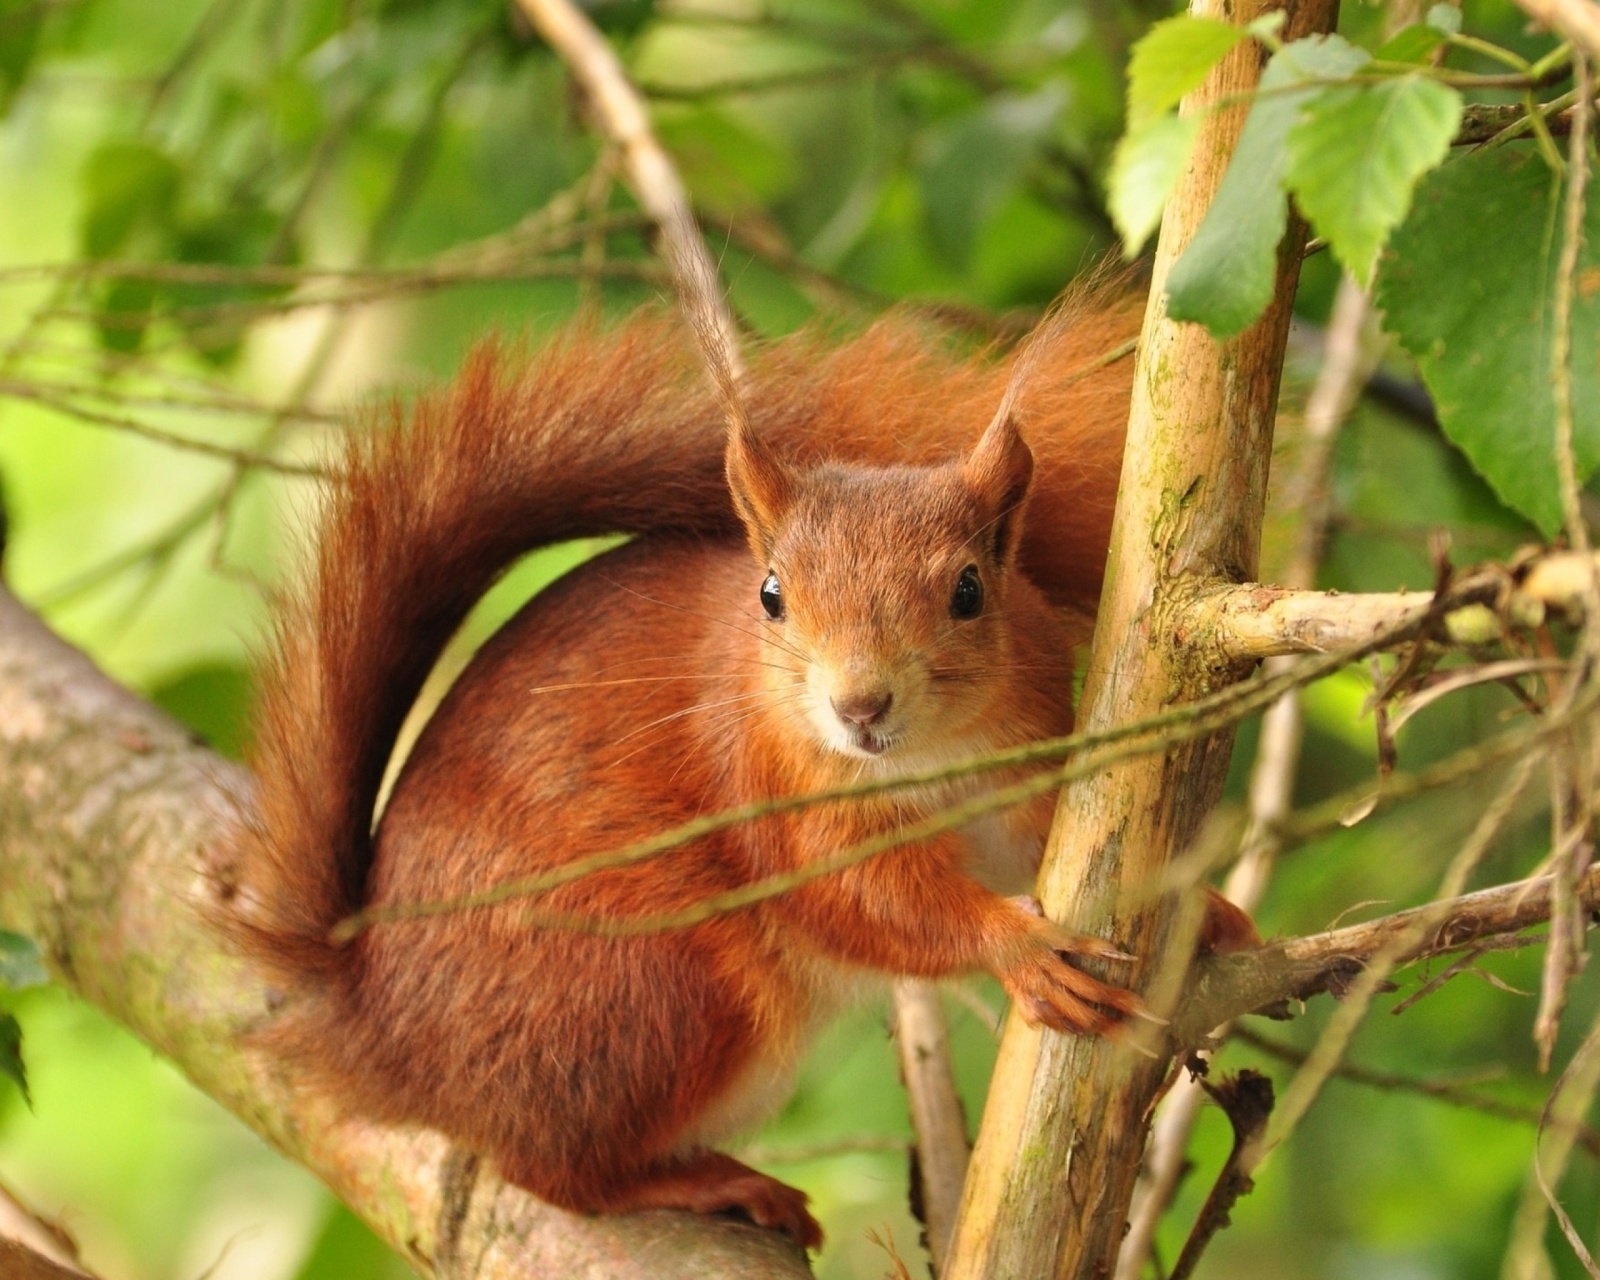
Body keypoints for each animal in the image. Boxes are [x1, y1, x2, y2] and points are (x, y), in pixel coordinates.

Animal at [233, 288, 1248, 1248]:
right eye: (771, 596)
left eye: (969, 591)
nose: (859, 706)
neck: (929, 758)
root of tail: (383, 1035)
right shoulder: (770, 790)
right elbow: (862, 899)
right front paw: (1020, 949)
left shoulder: (1026, 759)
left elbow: (1048, 843)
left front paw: (1205, 909)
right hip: (656, 988)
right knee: (552, 1172)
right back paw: (705, 1182)